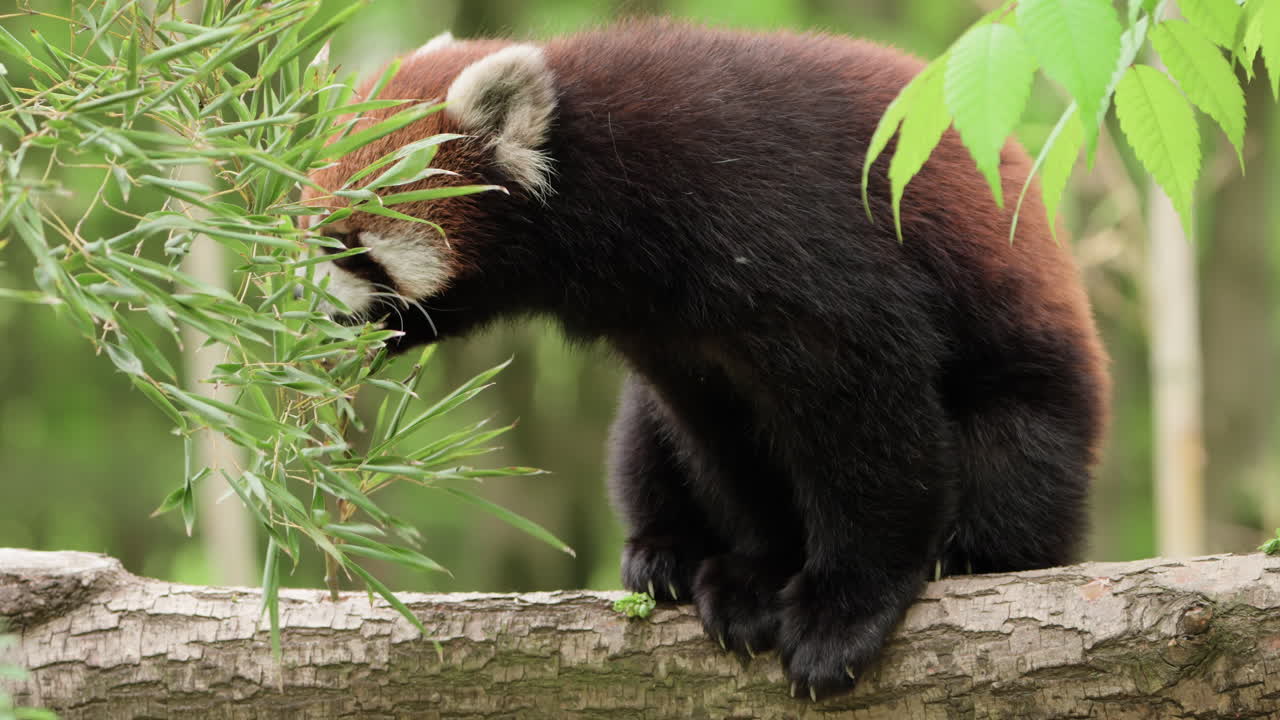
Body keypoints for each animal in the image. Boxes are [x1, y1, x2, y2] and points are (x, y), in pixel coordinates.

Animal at [305, 20, 1111, 700]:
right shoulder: (674, 341)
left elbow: (870, 430)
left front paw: (844, 608)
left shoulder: (793, 235)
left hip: (1032, 394)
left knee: (1013, 465)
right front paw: (760, 573)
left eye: (346, 244)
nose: (298, 317)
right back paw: (664, 553)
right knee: (642, 440)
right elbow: (727, 445)